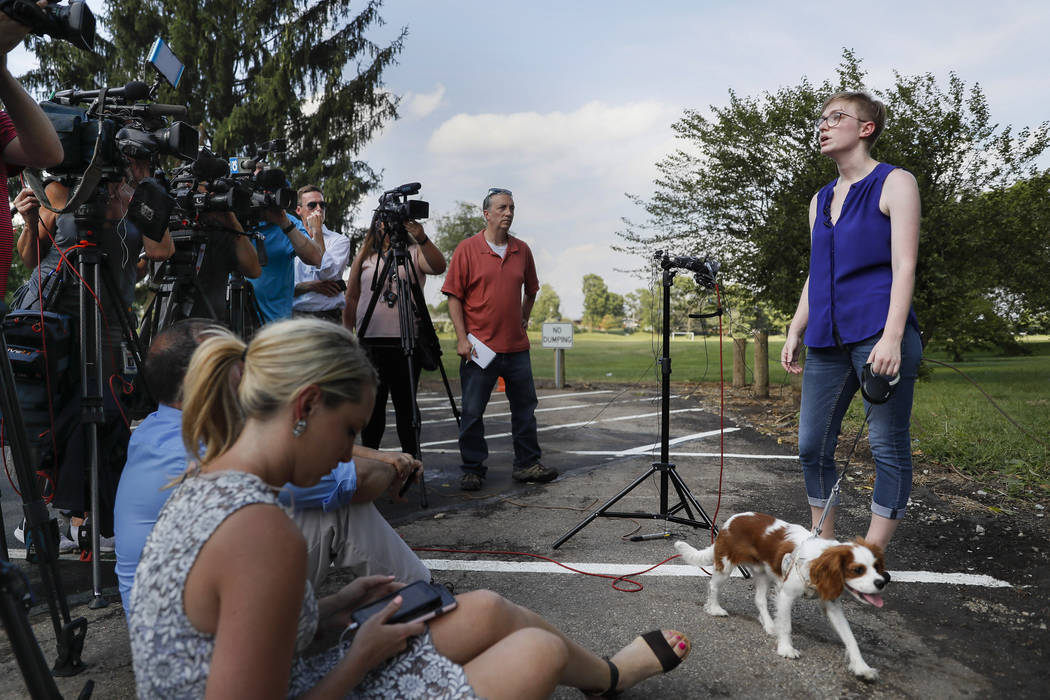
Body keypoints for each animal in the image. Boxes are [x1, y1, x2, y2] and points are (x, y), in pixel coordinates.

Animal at [676, 512, 890, 680]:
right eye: (858, 570)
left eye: (876, 567)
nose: (881, 582)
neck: (816, 562)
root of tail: (731, 520)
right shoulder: (786, 595)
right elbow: (787, 626)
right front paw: (786, 649)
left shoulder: (832, 605)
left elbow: (850, 637)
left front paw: (862, 667)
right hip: (726, 565)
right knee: (713, 586)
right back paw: (714, 608)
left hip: (763, 573)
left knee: (759, 600)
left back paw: (771, 625)